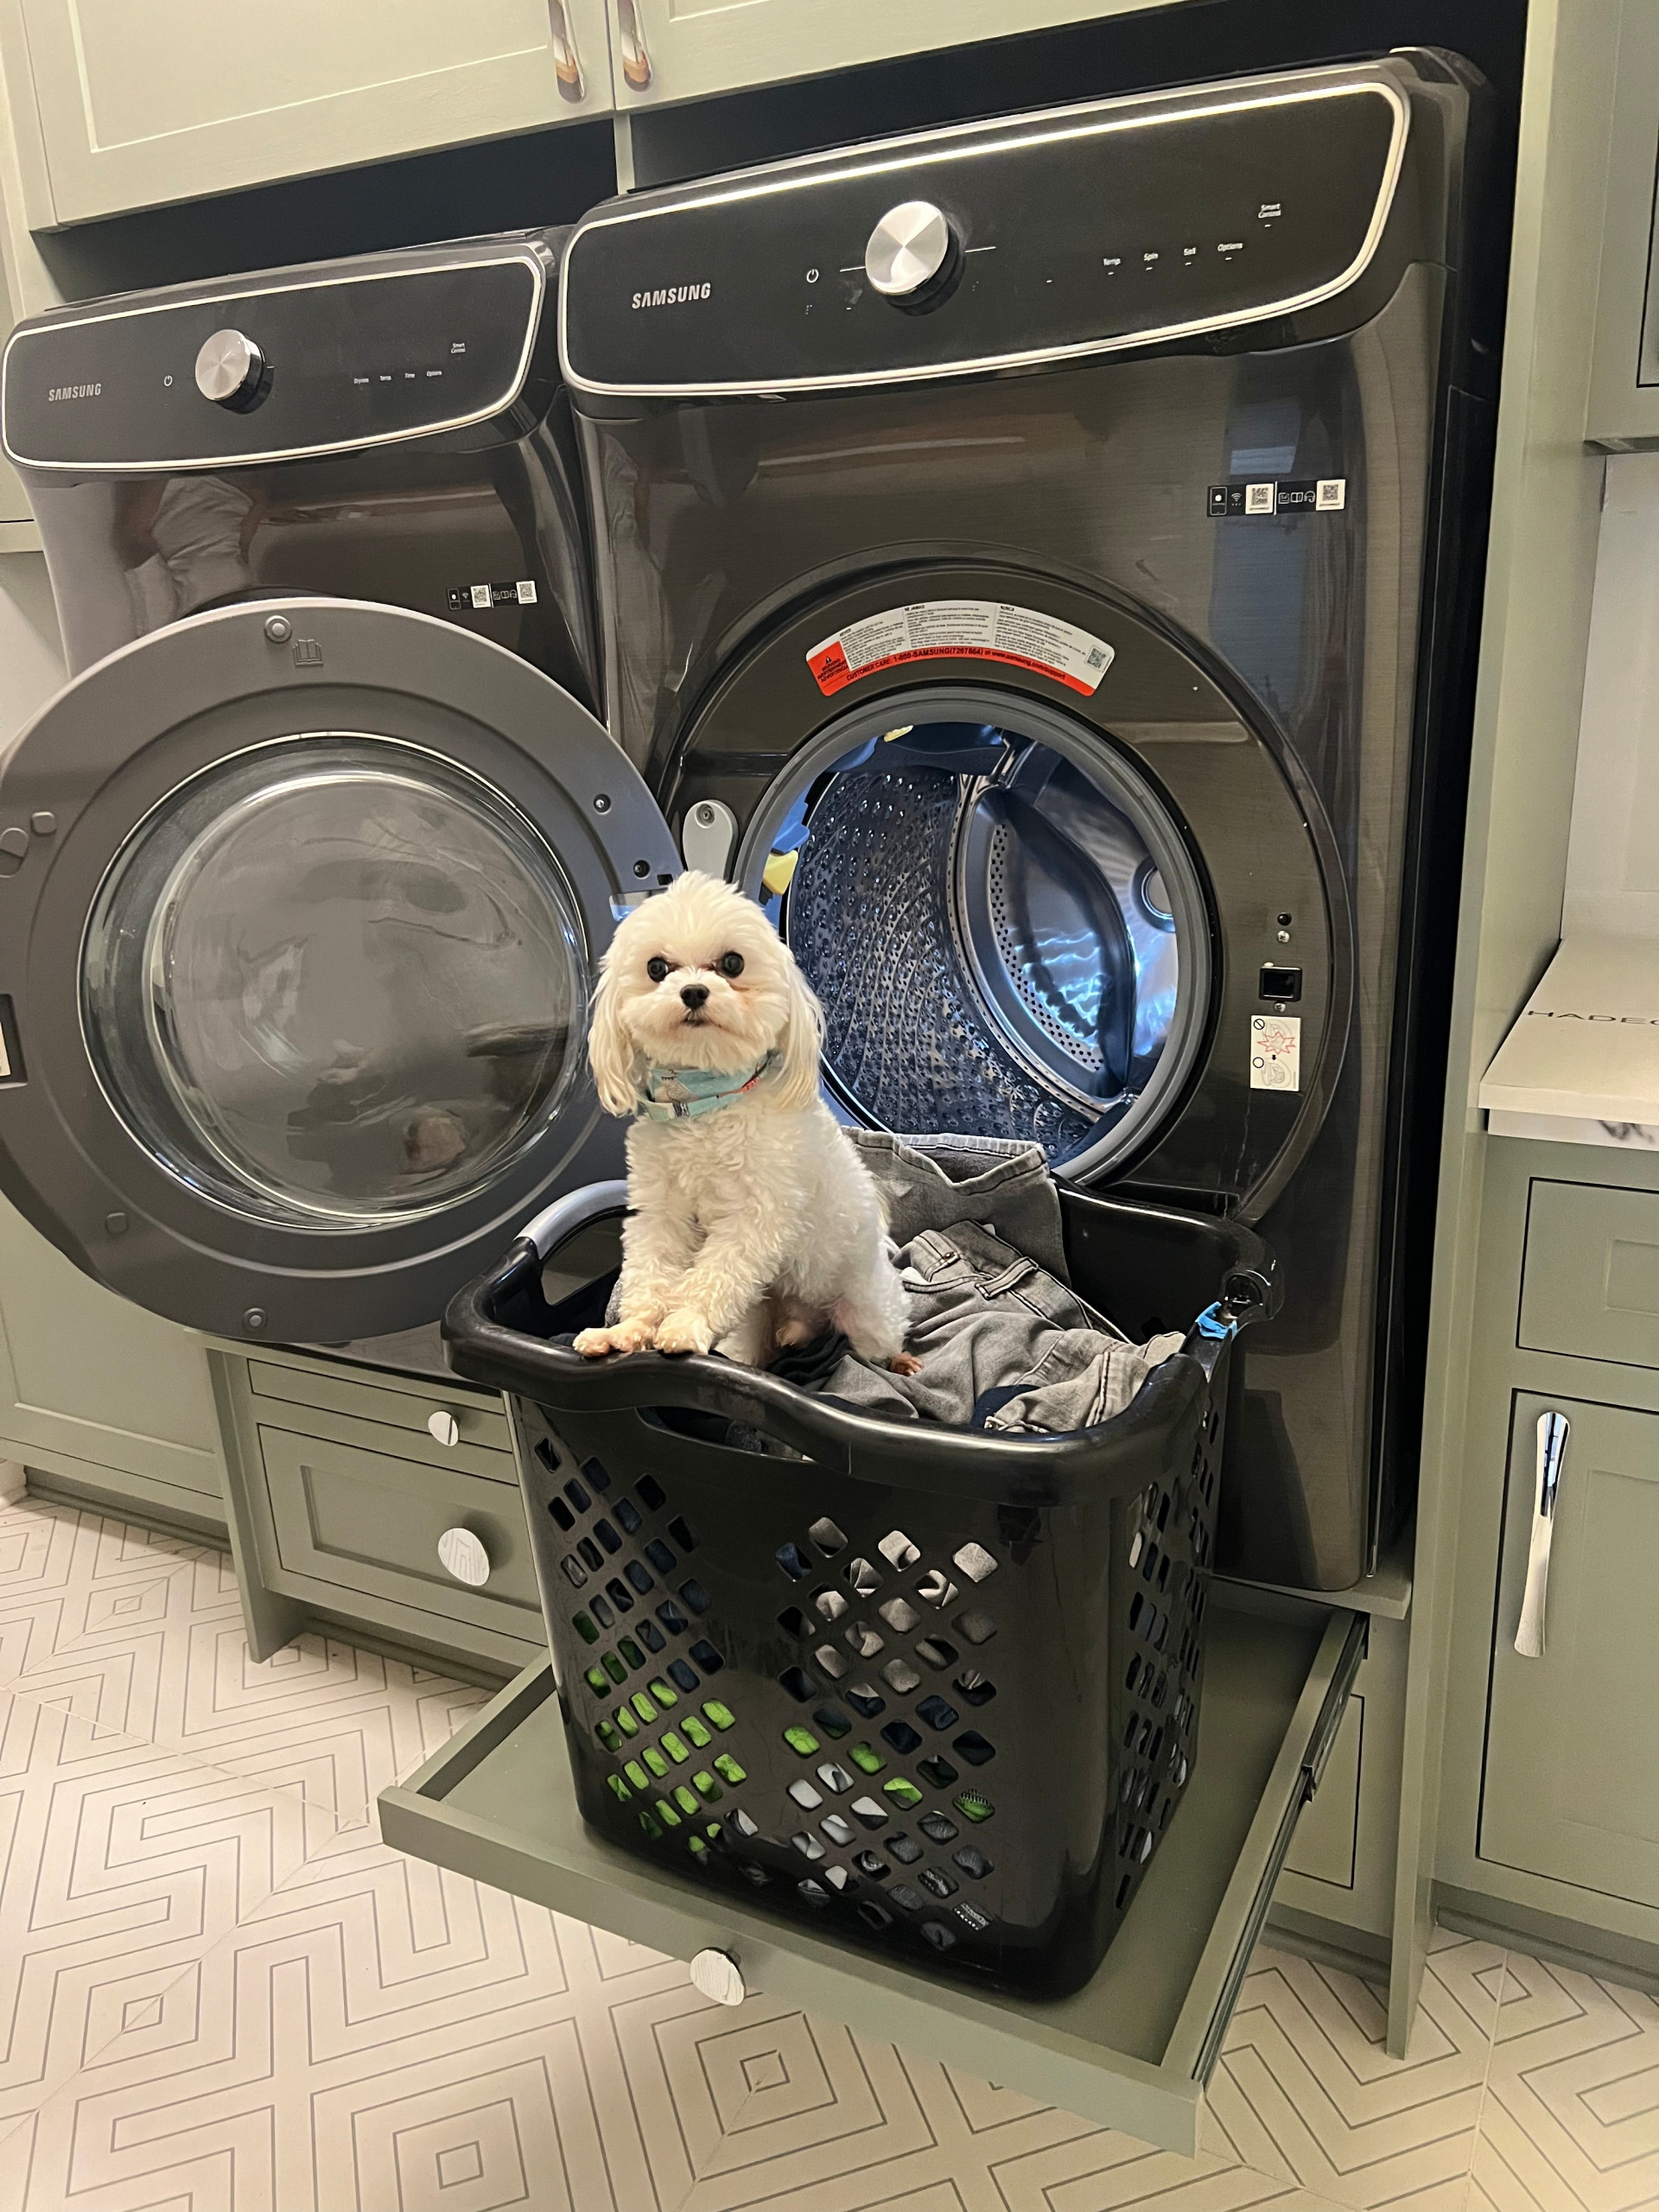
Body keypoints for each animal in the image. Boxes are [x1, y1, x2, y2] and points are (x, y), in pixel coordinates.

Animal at [575, 871, 915, 1371]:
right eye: (657, 968)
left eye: (733, 963)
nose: (694, 991)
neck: (707, 1104)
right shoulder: (662, 1211)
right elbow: (650, 1268)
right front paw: (628, 1330)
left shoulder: (755, 1217)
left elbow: (717, 1273)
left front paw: (684, 1323)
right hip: (759, 1316)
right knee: (785, 1330)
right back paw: (792, 1334)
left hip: (867, 1310)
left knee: (880, 1338)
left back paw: (899, 1360)